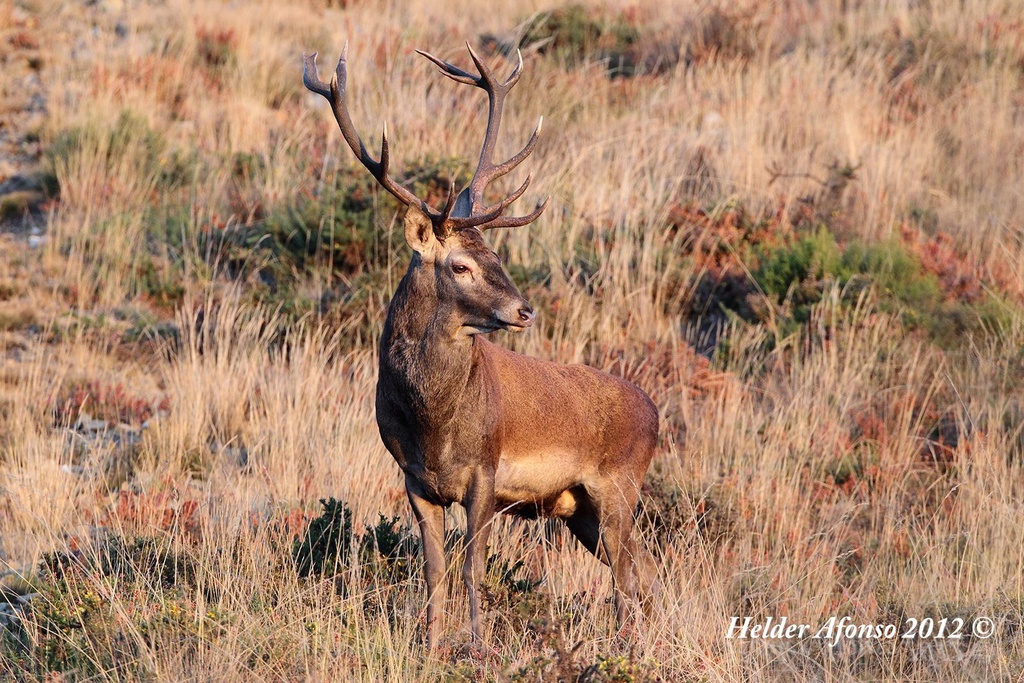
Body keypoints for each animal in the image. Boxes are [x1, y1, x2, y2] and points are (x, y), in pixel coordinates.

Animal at [299, 40, 659, 651]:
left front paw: (477, 644)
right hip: (581, 510)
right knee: (642, 570)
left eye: (497, 256)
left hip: (618, 487)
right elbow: (434, 567)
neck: (433, 424)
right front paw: (431, 642)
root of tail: (657, 412)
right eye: (462, 264)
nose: (523, 310)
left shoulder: (486, 474)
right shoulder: (414, 480)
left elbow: (473, 566)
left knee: (632, 575)